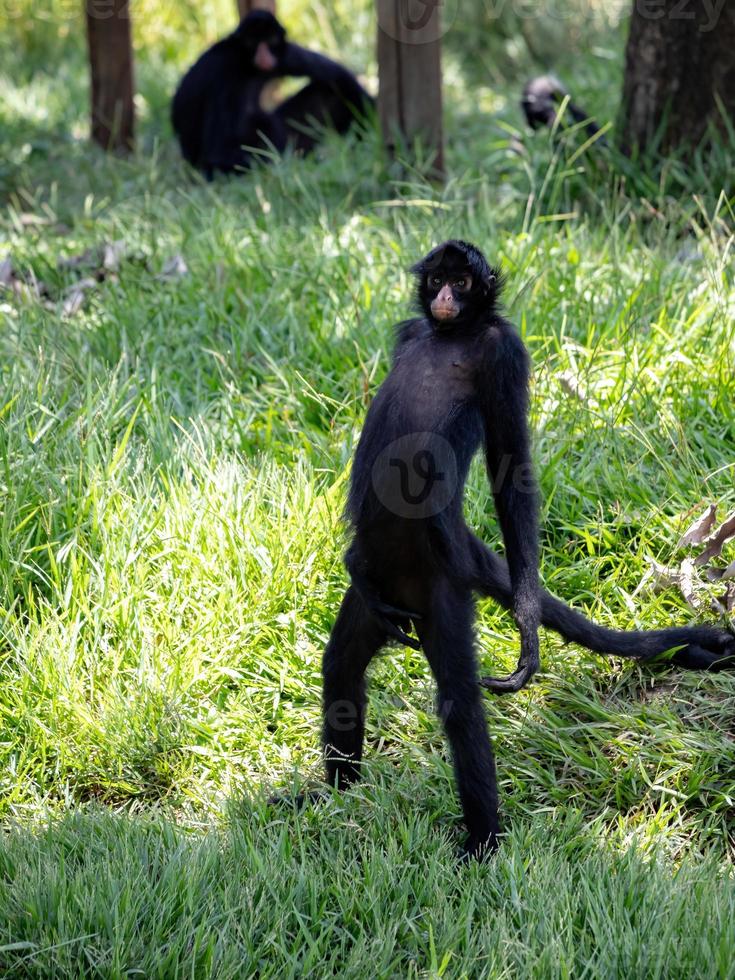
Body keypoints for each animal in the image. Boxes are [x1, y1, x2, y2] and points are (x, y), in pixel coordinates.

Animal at [170, 10, 370, 179]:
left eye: (271, 40)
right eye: (252, 42)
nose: (263, 55)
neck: (249, 68)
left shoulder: (283, 55)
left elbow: (337, 75)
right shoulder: (225, 73)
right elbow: (218, 153)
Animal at [324, 241, 735, 860]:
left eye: (464, 282)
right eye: (439, 280)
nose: (445, 299)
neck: (452, 335)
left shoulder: (506, 352)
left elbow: (511, 463)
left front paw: (526, 624)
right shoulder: (410, 333)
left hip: (440, 588)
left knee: (461, 703)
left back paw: (480, 847)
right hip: (381, 599)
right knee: (343, 665)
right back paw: (331, 800)